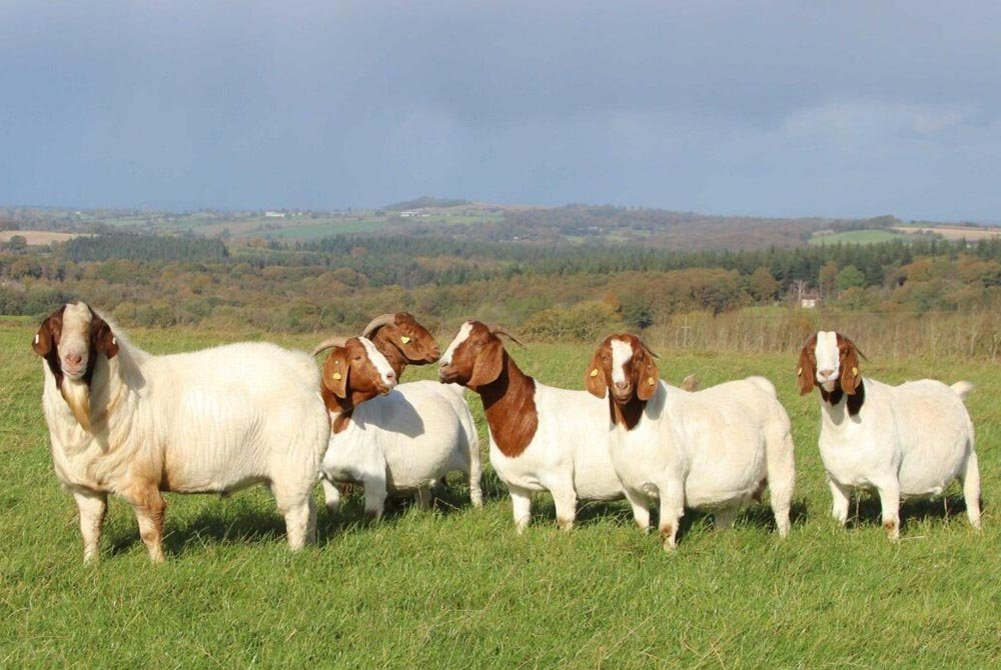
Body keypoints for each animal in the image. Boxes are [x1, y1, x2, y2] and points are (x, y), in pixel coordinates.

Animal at [29, 300, 328, 560]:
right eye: (55, 328)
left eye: (92, 331)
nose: (73, 359)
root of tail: (304, 371)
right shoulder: (86, 488)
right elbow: (90, 529)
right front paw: (90, 564)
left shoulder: (141, 481)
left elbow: (150, 529)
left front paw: (157, 566)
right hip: (290, 472)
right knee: (311, 509)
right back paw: (312, 547)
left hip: (294, 465)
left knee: (297, 513)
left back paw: (295, 555)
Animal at [314, 314, 482, 516]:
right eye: (357, 357)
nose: (390, 377)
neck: (341, 425)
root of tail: (454, 390)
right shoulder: (328, 479)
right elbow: (332, 508)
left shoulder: (374, 479)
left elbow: (371, 513)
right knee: (423, 494)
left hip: (471, 449)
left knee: (474, 484)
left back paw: (479, 509)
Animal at [440, 320, 624, 528]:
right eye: (454, 338)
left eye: (478, 343)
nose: (443, 368)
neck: (525, 414)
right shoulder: (516, 485)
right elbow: (520, 520)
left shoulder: (561, 483)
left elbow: (564, 520)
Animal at [584, 332, 792, 544]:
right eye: (604, 357)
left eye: (639, 357)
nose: (622, 386)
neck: (634, 425)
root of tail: (760, 388)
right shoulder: (632, 488)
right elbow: (642, 523)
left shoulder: (671, 483)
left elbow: (667, 528)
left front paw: (668, 550)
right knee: (726, 514)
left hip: (781, 460)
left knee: (781, 504)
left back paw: (782, 540)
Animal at [800, 328, 980, 536]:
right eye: (812, 351)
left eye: (843, 350)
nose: (827, 373)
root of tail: (953, 391)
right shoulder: (837, 480)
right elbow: (838, 516)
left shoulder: (888, 479)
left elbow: (890, 522)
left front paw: (893, 541)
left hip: (970, 457)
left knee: (972, 497)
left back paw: (977, 529)